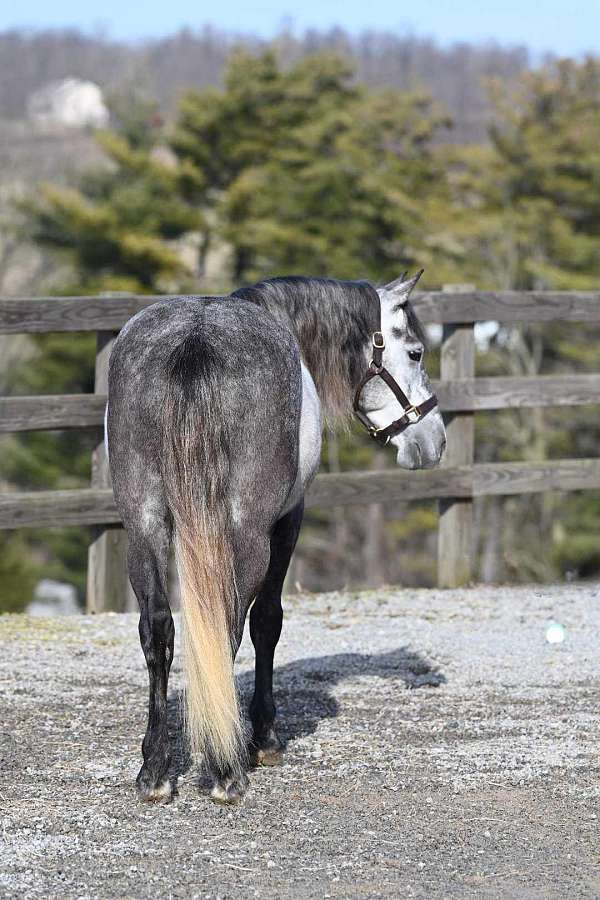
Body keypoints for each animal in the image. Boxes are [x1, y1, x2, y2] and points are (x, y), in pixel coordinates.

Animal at [106, 270, 446, 804]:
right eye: (414, 352)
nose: (433, 441)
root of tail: (194, 342)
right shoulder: (288, 519)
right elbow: (267, 621)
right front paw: (264, 737)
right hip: (246, 535)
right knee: (227, 626)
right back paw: (226, 768)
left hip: (143, 526)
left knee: (158, 630)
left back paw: (156, 770)